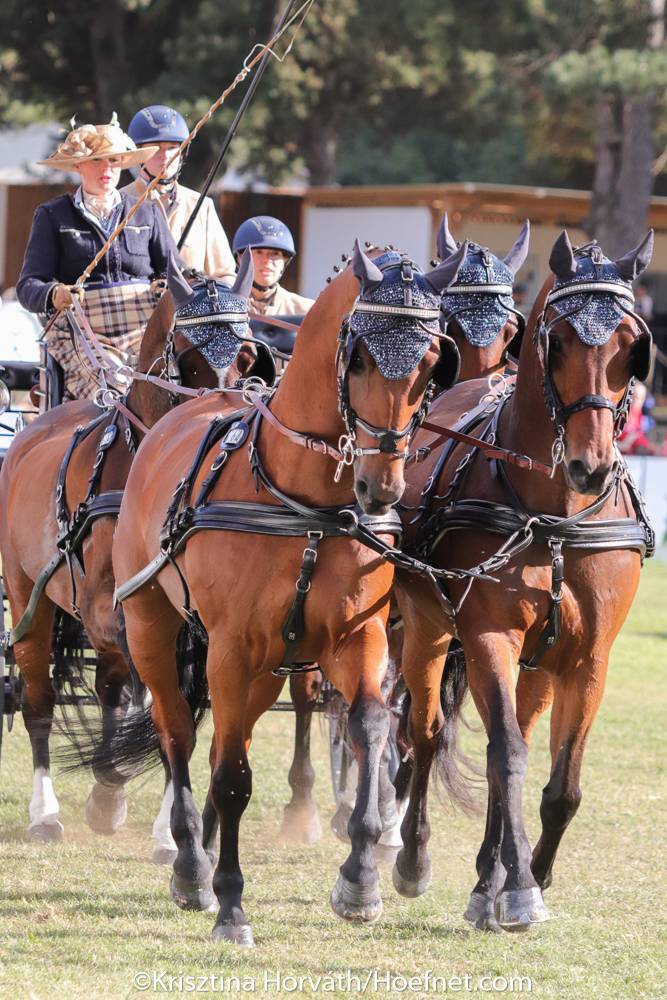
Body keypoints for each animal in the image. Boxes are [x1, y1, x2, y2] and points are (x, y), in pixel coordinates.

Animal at [0, 253, 260, 844]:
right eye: (188, 358)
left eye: (246, 355)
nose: (223, 419)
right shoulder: (110, 605)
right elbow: (161, 703)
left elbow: (172, 702)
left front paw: (162, 822)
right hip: (27, 595)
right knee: (39, 699)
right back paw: (46, 812)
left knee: (110, 686)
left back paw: (105, 790)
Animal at [79, 240, 468, 947]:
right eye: (359, 356)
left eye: (431, 362)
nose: (383, 488)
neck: (305, 502)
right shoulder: (230, 649)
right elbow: (233, 776)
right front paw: (230, 903)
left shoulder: (355, 637)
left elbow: (371, 726)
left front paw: (360, 878)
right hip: (154, 628)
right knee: (179, 734)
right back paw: (191, 863)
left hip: (264, 667)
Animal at [392, 230, 654, 932]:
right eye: (556, 340)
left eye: (631, 345)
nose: (592, 467)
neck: (554, 516)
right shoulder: (488, 637)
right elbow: (504, 755)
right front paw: (516, 891)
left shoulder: (589, 657)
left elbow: (560, 785)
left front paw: (526, 876)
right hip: (426, 630)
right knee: (426, 735)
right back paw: (412, 857)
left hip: (539, 663)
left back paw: (488, 875)